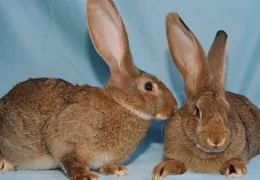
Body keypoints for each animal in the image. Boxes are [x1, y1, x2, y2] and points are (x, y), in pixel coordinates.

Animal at [0, 0, 177, 180]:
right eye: (148, 86)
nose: (174, 107)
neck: (122, 104)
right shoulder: (67, 142)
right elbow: (71, 160)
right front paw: (85, 176)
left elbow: (103, 165)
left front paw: (116, 169)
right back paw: (4, 164)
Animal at [151, 11, 260, 179]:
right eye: (197, 111)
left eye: (227, 111)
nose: (217, 139)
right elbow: (175, 162)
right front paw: (164, 168)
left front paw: (234, 167)